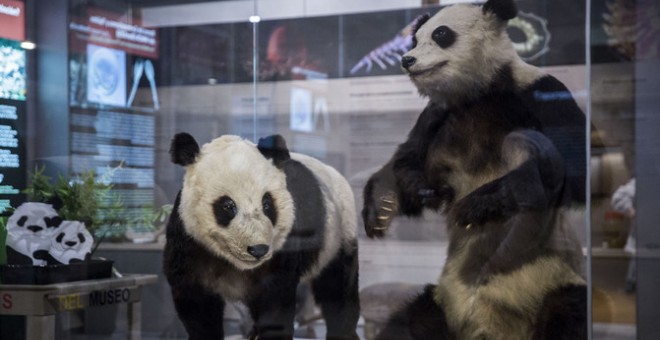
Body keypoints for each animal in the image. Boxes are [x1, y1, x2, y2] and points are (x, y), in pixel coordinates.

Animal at [164, 133, 360, 340]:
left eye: (267, 204)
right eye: (227, 206)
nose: (258, 249)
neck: (236, 264)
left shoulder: (283, 249)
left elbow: (275, 300)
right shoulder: (189, 244)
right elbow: (198, 305)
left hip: (339, 232)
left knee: (338, 287)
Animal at [364, 0, 592, 340]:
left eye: (441, 34)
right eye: (415, 39)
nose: (407, 59)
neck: (479, 92)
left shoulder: (540, 93)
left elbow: (574, 169)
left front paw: (475, 206)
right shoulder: (437, 116)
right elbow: (404, 161)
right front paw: (385, 207)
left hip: (553, 283)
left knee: (567, 315)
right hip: (438, 302)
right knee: (408, 323)